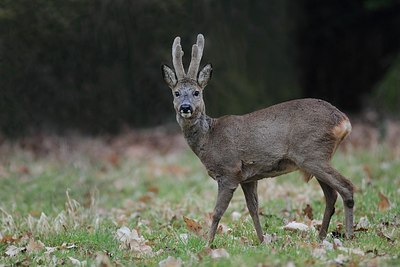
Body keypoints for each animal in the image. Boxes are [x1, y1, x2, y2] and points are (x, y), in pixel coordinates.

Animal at [161, 34, 354, 249]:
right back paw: (320, 237)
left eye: (197, 92)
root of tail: (343, 121)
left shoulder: (229, 171)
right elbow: (253, 208)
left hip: (312, 153)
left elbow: (217, 212)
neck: (209, 138)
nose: (185, 107)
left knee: (346, 187)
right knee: (331, 195)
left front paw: (207, 245)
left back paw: (348, 236)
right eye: (176, 93)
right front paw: (262, 241)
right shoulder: (248, 178)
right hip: (317, 157)